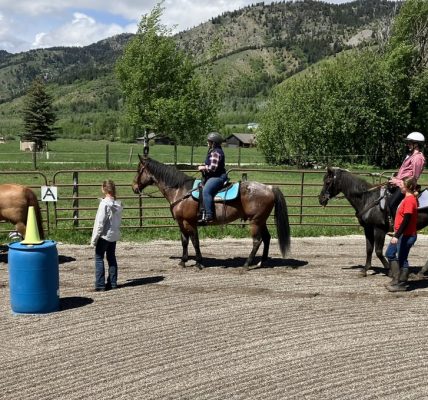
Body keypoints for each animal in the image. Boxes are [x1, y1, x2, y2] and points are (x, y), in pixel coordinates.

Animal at [132, 155, 291, 269]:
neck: (181, 191)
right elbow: (184, 242)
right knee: (267, 238)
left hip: (255, 221)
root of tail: (269, 188)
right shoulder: (181, 223)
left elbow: (195, 242)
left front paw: (198, 262)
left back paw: (247, 264)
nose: (134, 187)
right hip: (261, 220)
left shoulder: (190, 223)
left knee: (257, 241)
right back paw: (261, 262)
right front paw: (183, 261)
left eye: (139, 170)